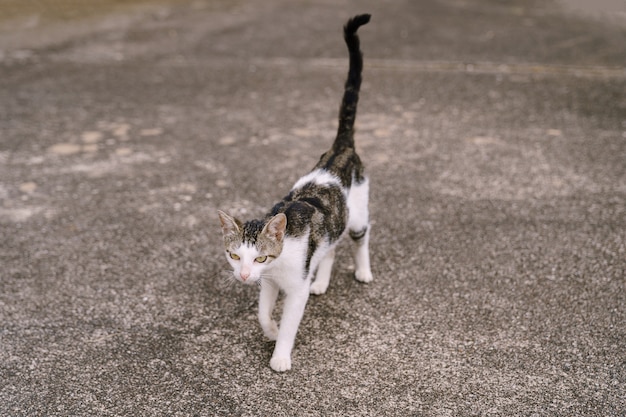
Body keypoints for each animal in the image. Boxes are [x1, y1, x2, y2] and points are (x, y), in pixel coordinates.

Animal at [219, 14, 372, 370]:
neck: (276, 266)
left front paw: (280, 355)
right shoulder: (268, 283)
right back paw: (322, 281)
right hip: (333, 225)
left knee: (360, 238)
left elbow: (291, 321)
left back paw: (364, 271)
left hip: (358, 213)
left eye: (260, 256)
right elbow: (262, 313)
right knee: (330, 247)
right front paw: (271, 329)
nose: (243, 276)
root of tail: (340, 148)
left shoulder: (293, 287)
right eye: (235, 255)